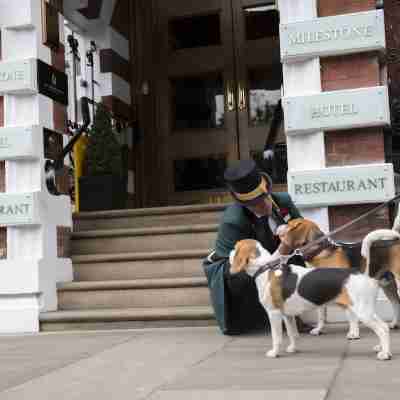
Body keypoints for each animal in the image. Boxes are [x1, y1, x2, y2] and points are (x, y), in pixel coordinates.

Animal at [230, 239, 392, 360]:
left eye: (235, 248)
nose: (229, 253)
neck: (266, 268)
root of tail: (365, 276)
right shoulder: (287, 316)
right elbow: (292, 334)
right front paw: (292, 349)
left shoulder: (274, 313)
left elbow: (276, 337)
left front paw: (274, 353)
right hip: (367, 310)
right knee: (383, 327)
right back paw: (381, 348)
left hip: (363, 312)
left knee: (382, 329)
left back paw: (385, 354)